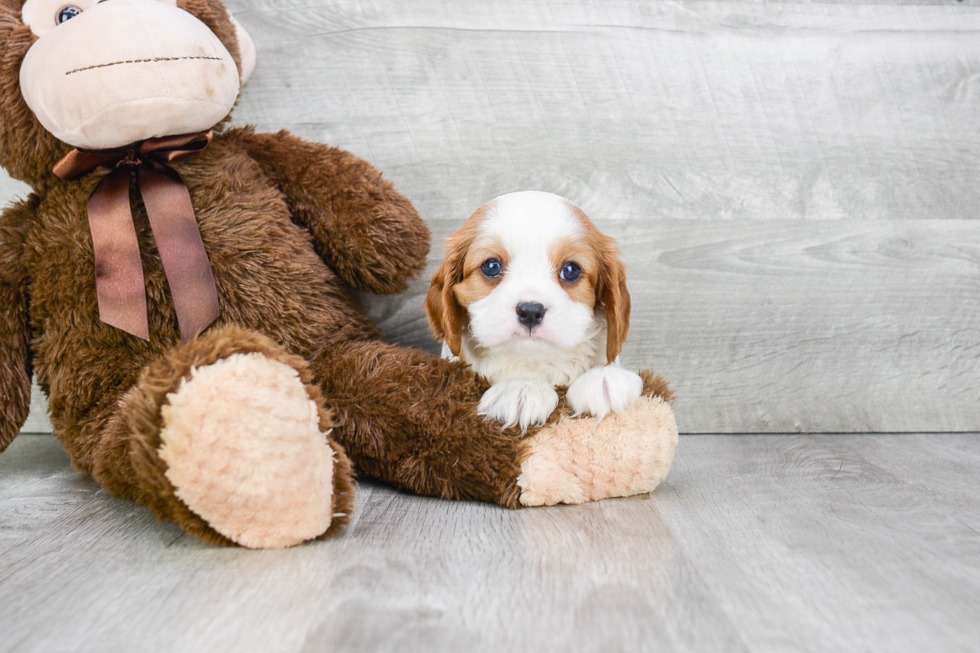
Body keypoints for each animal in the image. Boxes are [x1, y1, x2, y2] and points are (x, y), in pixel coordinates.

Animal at [426, 191, 644, 430]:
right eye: (491, 266)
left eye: (571, 270)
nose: (530, 311)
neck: (534, 361)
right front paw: (521, 387)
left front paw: (603, 379)